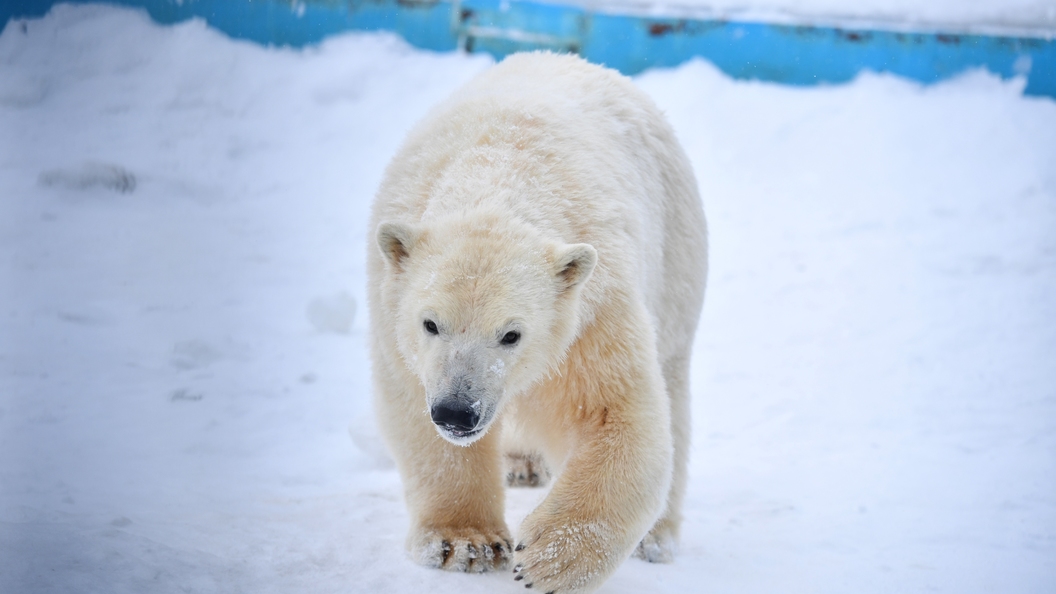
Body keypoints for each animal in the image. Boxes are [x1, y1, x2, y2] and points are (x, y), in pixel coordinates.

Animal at [367, 52, 705, 591]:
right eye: (430, 324)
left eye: (512, 334)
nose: (457, 412)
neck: (501, 173)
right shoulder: (392, 308)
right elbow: (414, 413)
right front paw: (466, 544)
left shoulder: (592, 309)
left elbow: (615, 414)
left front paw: (549, 558)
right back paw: (521, 463)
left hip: (676, 252)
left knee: (673, 386)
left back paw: (655, 538)